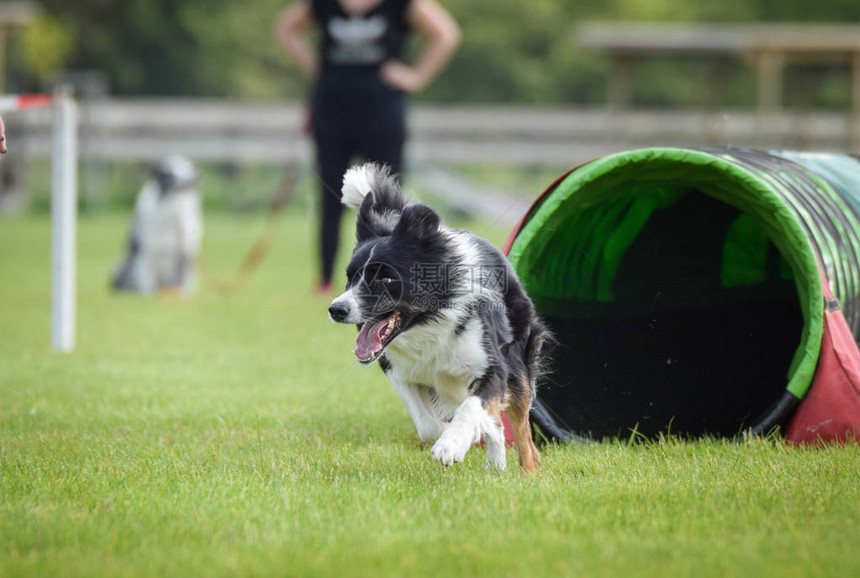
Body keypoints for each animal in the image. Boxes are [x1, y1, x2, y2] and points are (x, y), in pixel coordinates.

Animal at [111, 155, 204, 294]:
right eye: (169, 173)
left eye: (188, 169)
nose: (192, 180)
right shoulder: (144, 254)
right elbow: (147, 286)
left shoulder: (185, 253)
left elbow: (181, 283)